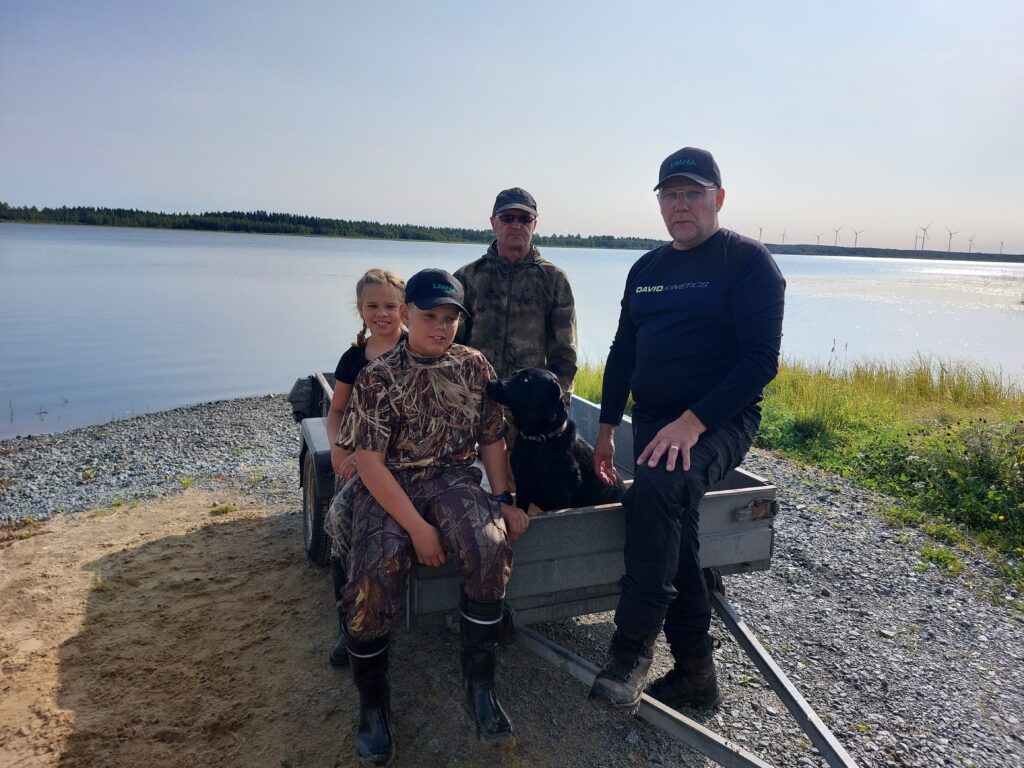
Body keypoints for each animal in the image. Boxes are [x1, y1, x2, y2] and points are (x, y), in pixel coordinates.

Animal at [485, 370, 622, 514]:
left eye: (525, 380)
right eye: (513, 374)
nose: (490, 383)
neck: (537, 440)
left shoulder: (560, 497)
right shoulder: (522, 489)